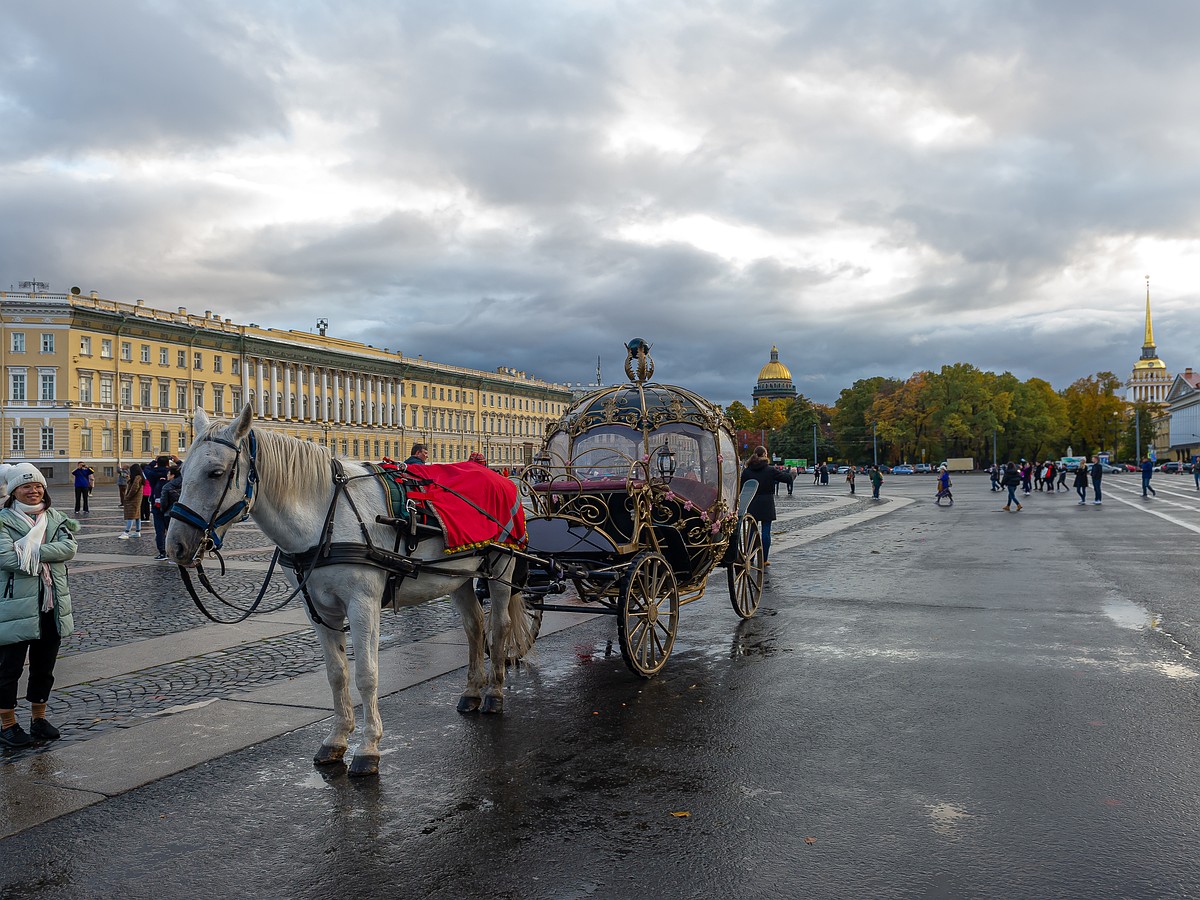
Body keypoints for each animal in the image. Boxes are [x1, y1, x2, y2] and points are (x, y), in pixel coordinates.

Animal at [165, 405, 535, 777]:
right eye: (181, 471)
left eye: (215, 473)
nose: (175, 546)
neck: (325, 518)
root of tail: (504, 477)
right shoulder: (318, 608)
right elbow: (337, 673)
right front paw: (336, 739)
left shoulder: (363, 604)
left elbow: (366, 675)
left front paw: (369, 747)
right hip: (457, 576)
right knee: (474, 627)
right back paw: (472, 692)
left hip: (501, 568)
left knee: (499, 627)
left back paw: (494, 694)